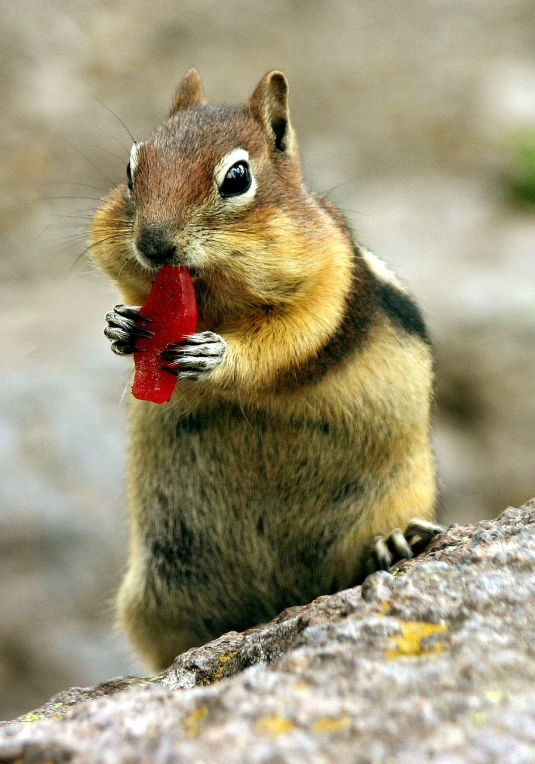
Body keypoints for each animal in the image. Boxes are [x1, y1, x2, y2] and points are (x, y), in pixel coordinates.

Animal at [91, 70, 444, 668]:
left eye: (237, 177)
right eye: (131, 170)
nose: (153, 244)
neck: (217, 303)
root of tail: (282, 599)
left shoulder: (328, 283)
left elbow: (285, 341)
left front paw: (216, 356)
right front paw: (122, 325)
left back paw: (395, 544)